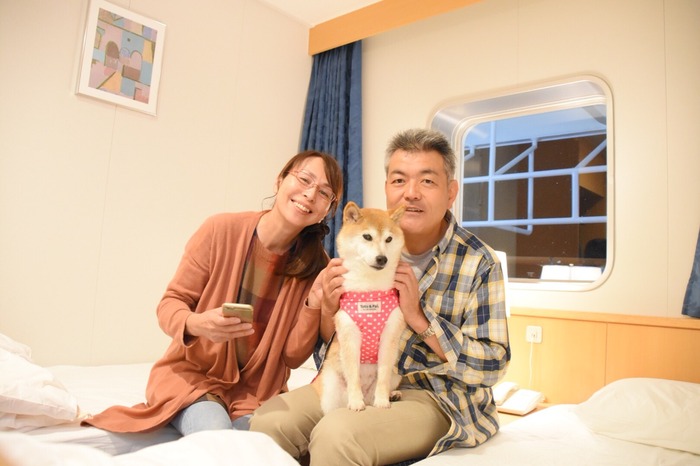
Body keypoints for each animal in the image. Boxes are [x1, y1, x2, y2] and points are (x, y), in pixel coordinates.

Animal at [313, 201, 407, 413]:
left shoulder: (389, 335)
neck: (369, 290)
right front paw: (356, 402)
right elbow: (353, 375)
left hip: (397, 373)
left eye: (389, 239)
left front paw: (383, 400)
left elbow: (382, 376)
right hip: (330, 385)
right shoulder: (349, 334)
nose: (382, 258)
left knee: (379, 389)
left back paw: (391, 395)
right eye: (367, 236)